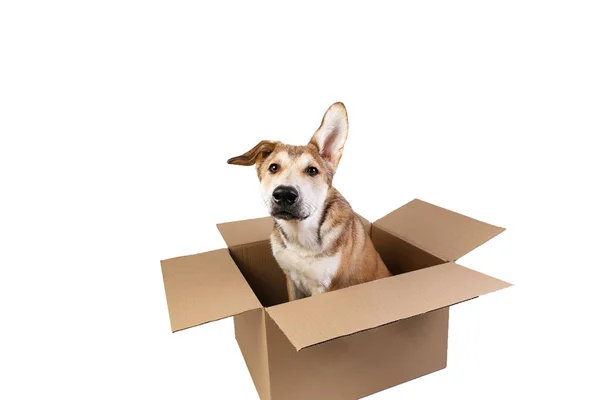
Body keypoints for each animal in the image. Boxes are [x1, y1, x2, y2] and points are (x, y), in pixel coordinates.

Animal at [227, 103, 392, 300]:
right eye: (273, 167)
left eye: (312, 170)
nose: (284, 194)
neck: (300, 237)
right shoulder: (290, 278)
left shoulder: (323, 289)